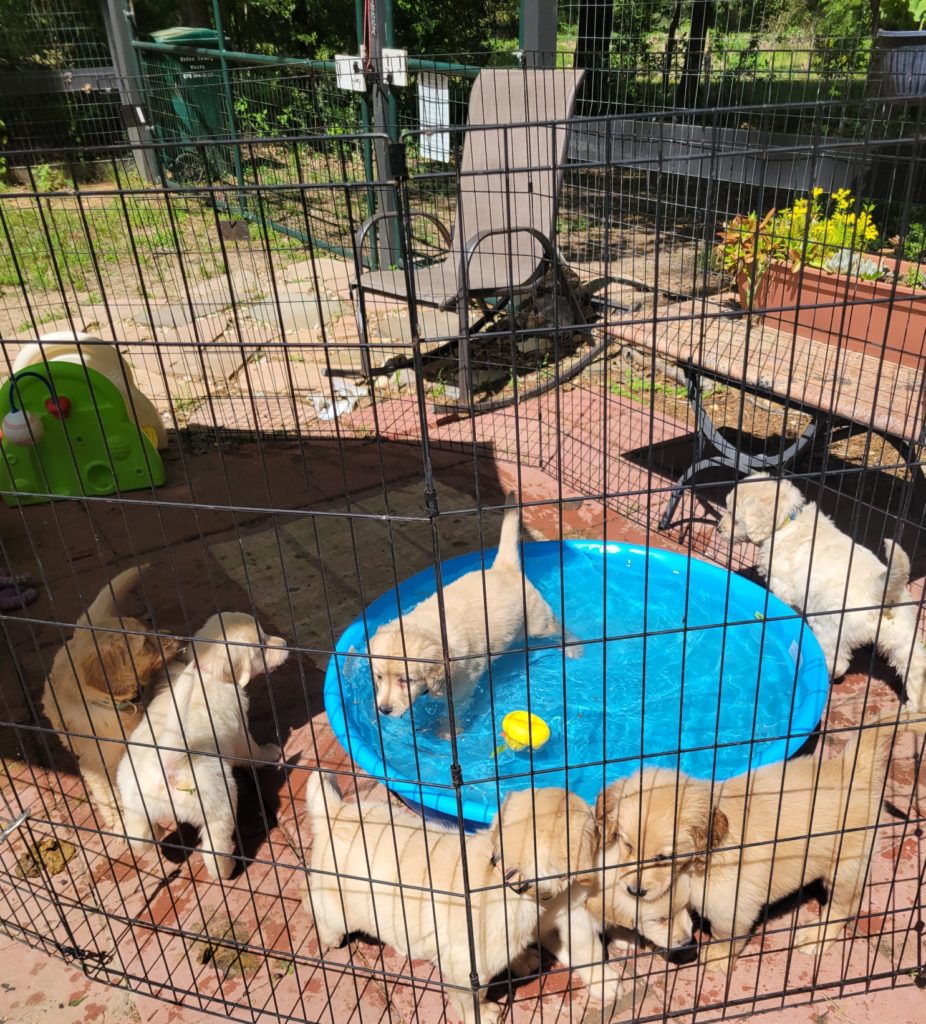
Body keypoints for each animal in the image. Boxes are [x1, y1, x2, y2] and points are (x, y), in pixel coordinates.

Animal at [40, 569, 184, 831]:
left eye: (148, 626)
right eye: (145, 644)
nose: (176, 637)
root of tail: (82, 631)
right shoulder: (98, 766)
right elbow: (110, 797)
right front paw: (121, 822)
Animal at [117, 610, 286, 876]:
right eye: (261, 642)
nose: (286, 644)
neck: (206, 671)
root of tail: (165, 766)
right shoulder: (240, 729)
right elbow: (253, 752)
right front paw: (270, 753)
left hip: (134, 801)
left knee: (138, 836)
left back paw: (157, 832)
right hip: (219, 800)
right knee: (213, 851)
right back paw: (228, 869)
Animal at [364, 491, 573, 724]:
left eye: (405, 680)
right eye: (379, 677)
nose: (384, 710)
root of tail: (503, 568)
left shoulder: (462, 690)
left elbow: (453, 716)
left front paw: (445, 730)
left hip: (537, 623)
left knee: (560, 628)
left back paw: (574, 648)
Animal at [598, 712, 926, 974]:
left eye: (663, 857)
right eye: (627, 845)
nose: (634, 890)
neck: (702, 861)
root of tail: (852, 769)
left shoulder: (732, 903)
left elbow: (726, 934)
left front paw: (716, 959)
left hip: (846, 866)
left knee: (845, 905)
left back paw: (816, 937)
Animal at [717, 471, 926, 704]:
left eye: (734, 515)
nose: (718, 529)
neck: (787, 522)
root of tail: (878, 591)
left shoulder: (784, 586)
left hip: (830, 626)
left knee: (838, 662)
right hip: (902, 632)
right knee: (915, 664)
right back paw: (914, 706)